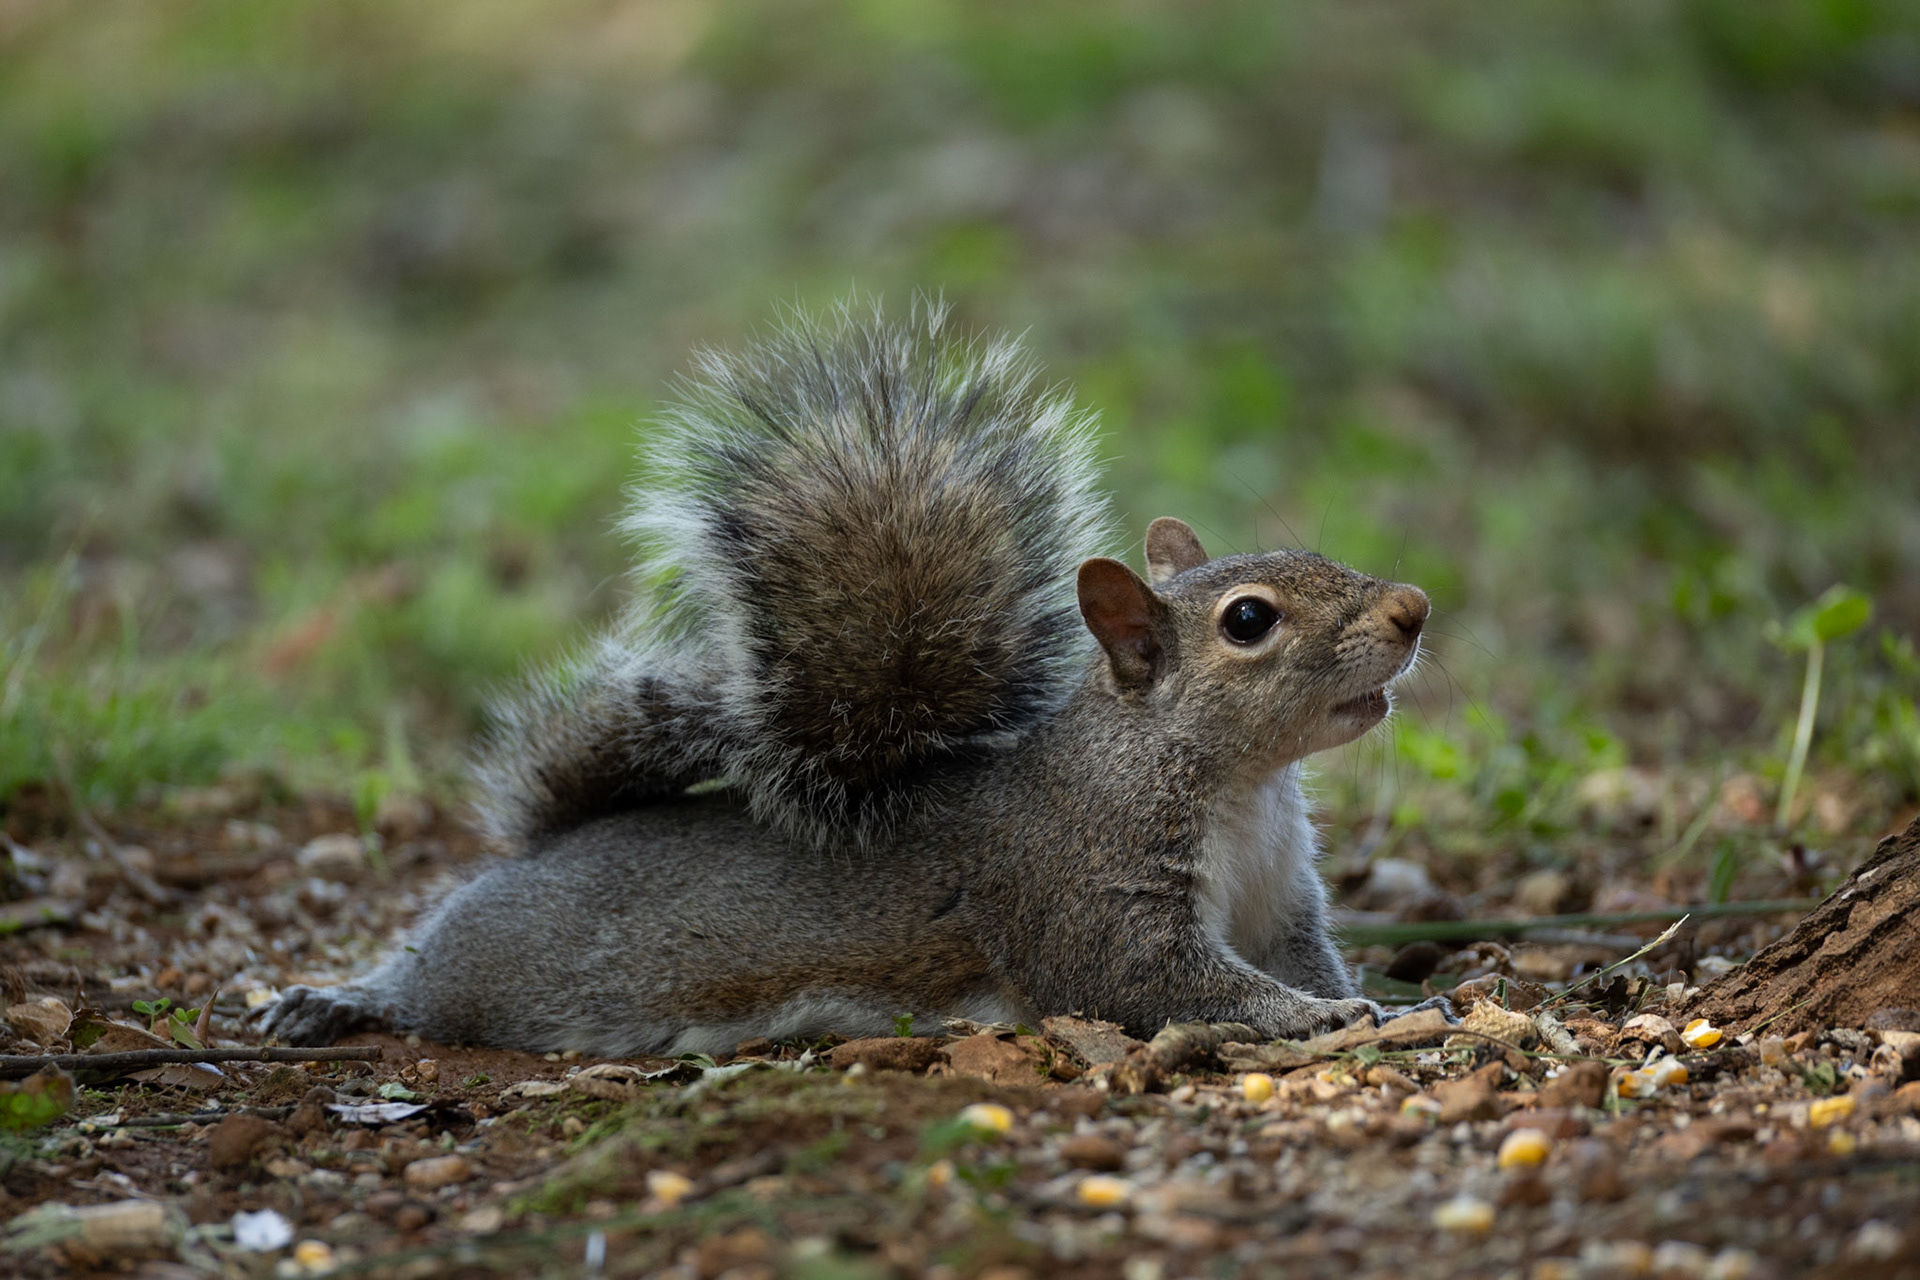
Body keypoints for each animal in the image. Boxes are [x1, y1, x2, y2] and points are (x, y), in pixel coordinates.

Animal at [262, 299, 1446, 1056]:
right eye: (1249, 620)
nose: (1414, 607)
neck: (1239, 788)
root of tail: (542, 851)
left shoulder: (1283, 903)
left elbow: (1307, 958)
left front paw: (1382, 1006)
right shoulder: (1082, 886)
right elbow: (1156, 982)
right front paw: (1315, 1020)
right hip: (492, 966)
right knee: (417, 974)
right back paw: (332, 998)